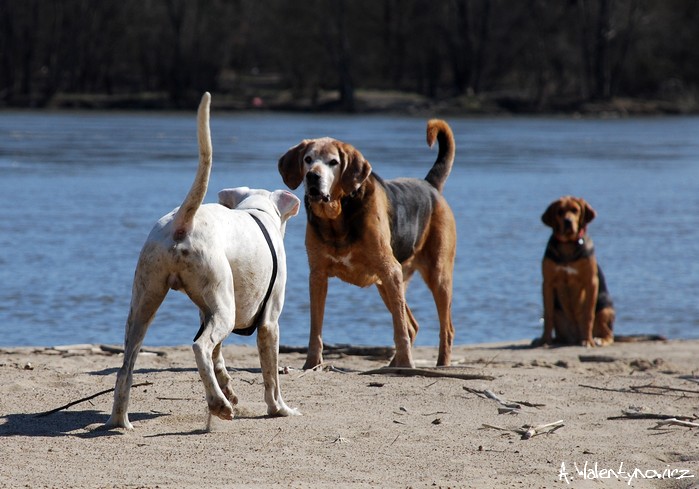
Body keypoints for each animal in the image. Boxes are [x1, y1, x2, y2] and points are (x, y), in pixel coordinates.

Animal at [106, 92, 300, 428]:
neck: (257, 211)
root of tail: (183, 222)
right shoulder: (269, 322)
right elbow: (271, 376)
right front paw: (280, 409)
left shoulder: (205, 312)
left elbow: (219, 358)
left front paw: (229, 388)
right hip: (223, 310)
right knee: (199, 347)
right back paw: (219, 405)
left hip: (145, 304)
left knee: (126, 367)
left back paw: (121, 421)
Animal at [278, 120, 460, 368]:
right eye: (308, 159)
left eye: (333, 162)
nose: (313, 176)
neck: (336, 215)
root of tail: (429, 185)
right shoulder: (317, 275)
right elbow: (315, 328)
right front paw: (312, 364)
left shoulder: (390, 270)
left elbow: (399, 330)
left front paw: (408, 364)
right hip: (387, 284)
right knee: (412, 325)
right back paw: (392, 367)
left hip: (435, 275)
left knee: (444, 329)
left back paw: (437, 365)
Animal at [540, 195, 616, 346]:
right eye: (560, 211)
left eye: (575, 210)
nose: (568, 221)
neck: (568, 244)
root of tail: (574, 338)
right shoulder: (547, 283)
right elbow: (547, 314)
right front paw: (545, 341)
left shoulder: (591, 282)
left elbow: (588, 315)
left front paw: (588, 341)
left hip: (604, 307)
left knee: (609, 333)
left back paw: (600, 339)